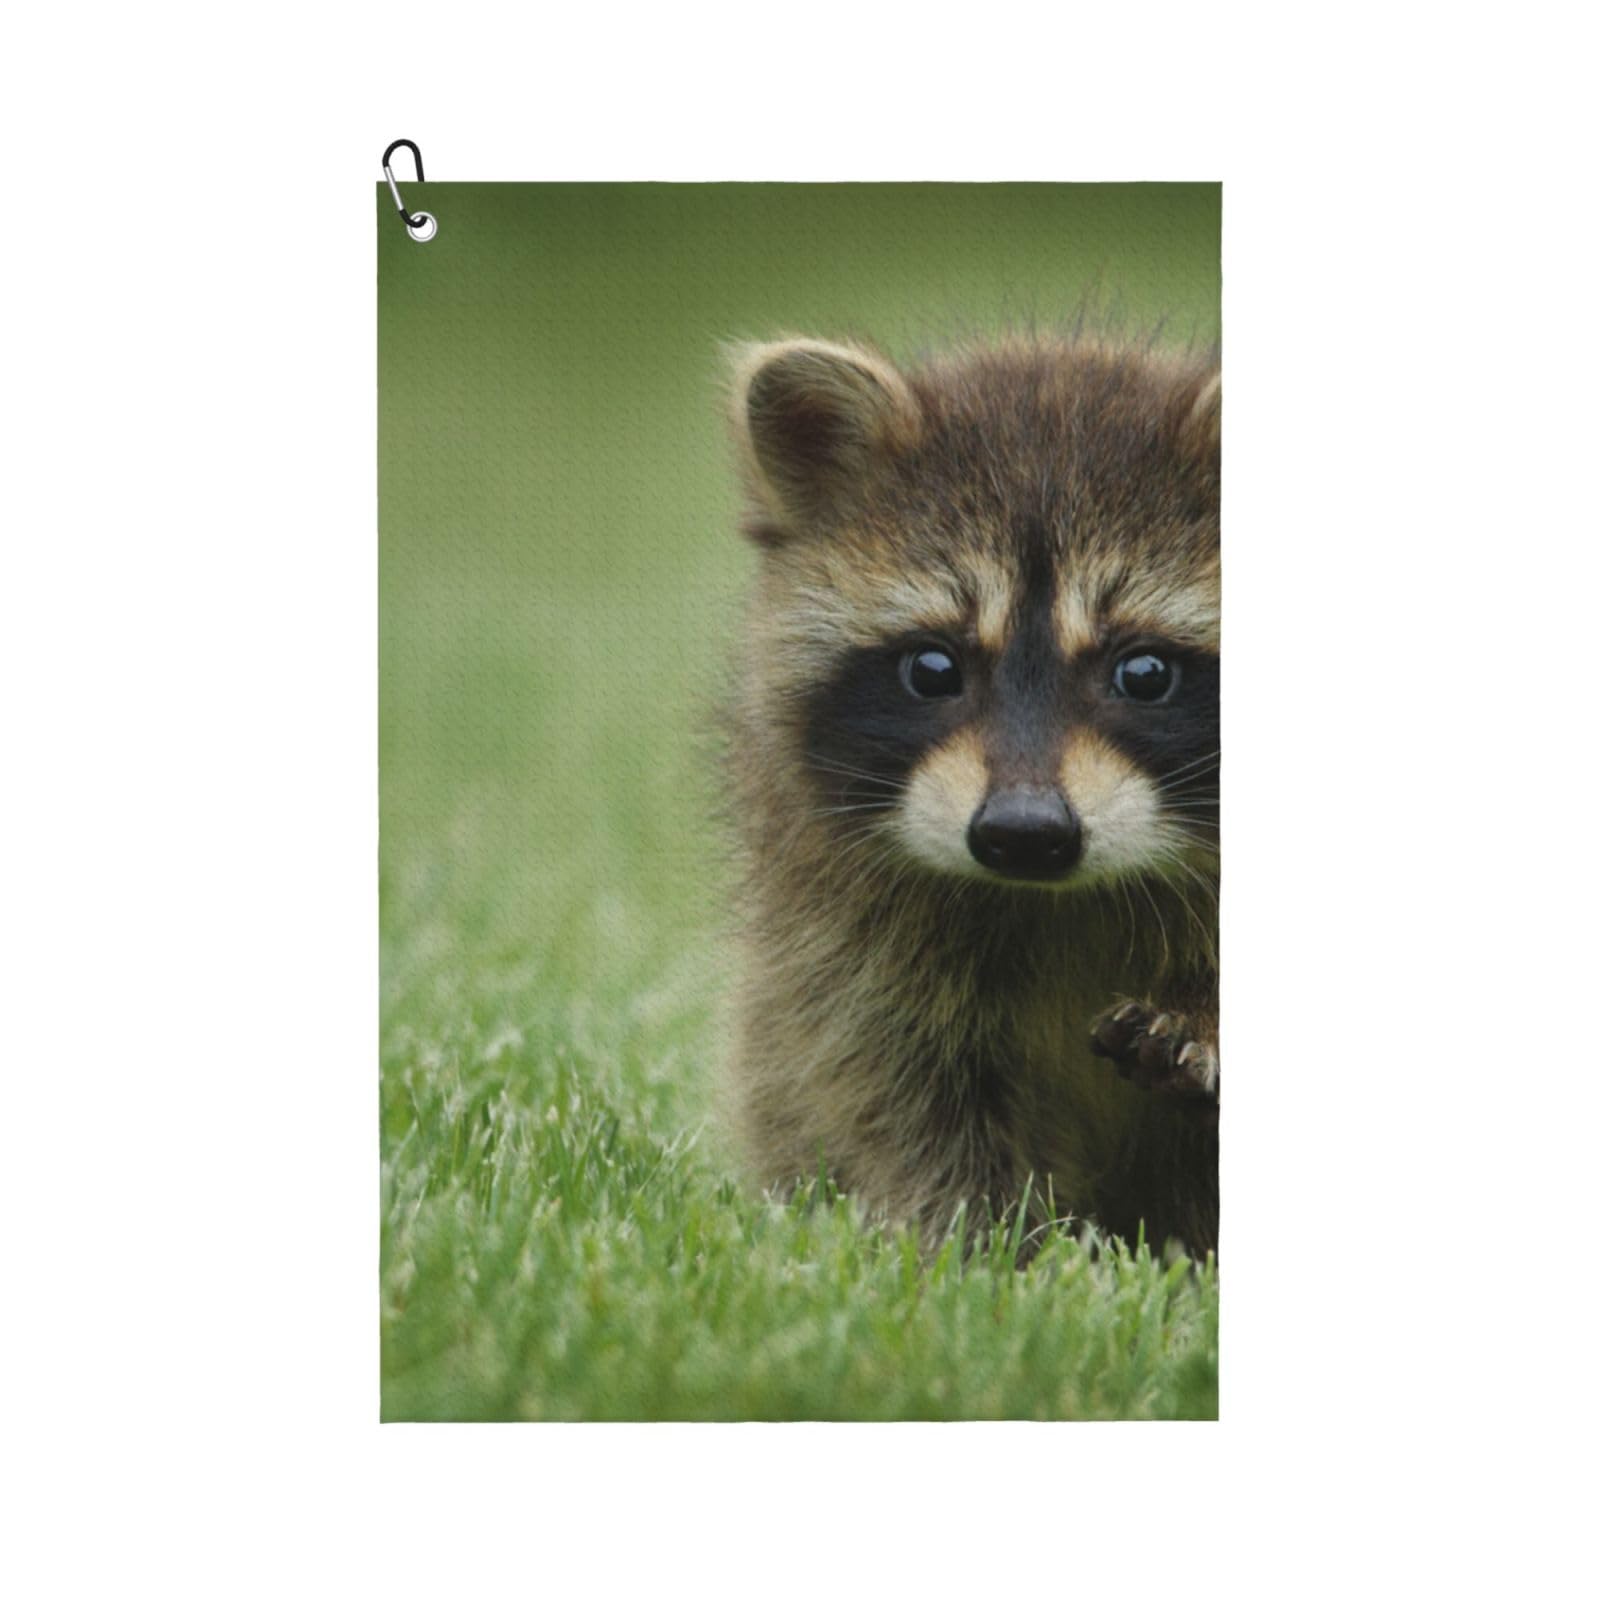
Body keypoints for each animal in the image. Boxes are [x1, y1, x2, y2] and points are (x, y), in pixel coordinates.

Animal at [719, 332, 1220, 1257]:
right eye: (932, 668)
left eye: (1144, 673)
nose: (1024, 833)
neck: (1065, 898)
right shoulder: (845, 941)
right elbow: (897, 1091)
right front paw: (982, 1254)